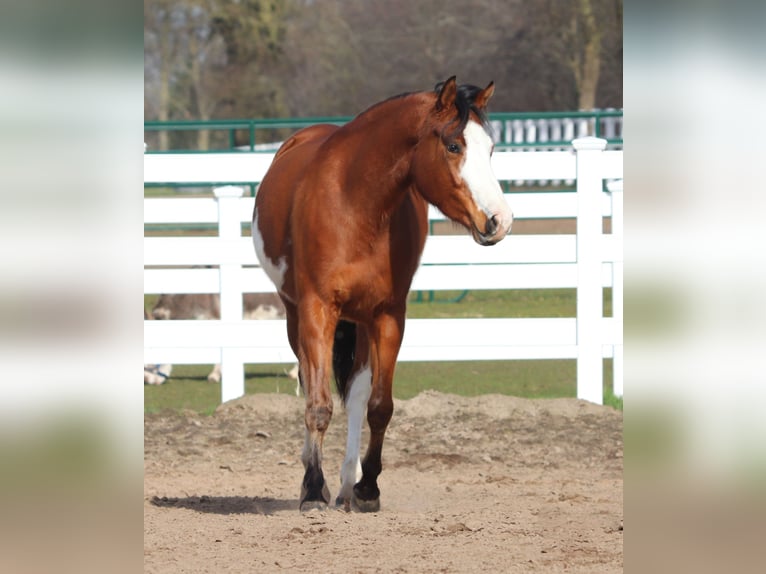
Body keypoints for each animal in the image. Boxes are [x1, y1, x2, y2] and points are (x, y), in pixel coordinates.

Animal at [252, 77, 513, 512]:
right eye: (453, 145)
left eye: (490, 149)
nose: (499, 221)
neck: (356, 204)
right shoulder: (317, 310)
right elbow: (318, 404)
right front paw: (312, 489)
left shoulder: (388, 316)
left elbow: (379, 407)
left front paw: (367, 487)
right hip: (296, 316)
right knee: (309, 380)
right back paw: (317, 480)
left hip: (358, 323)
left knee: (356, 395)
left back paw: (345, 484)